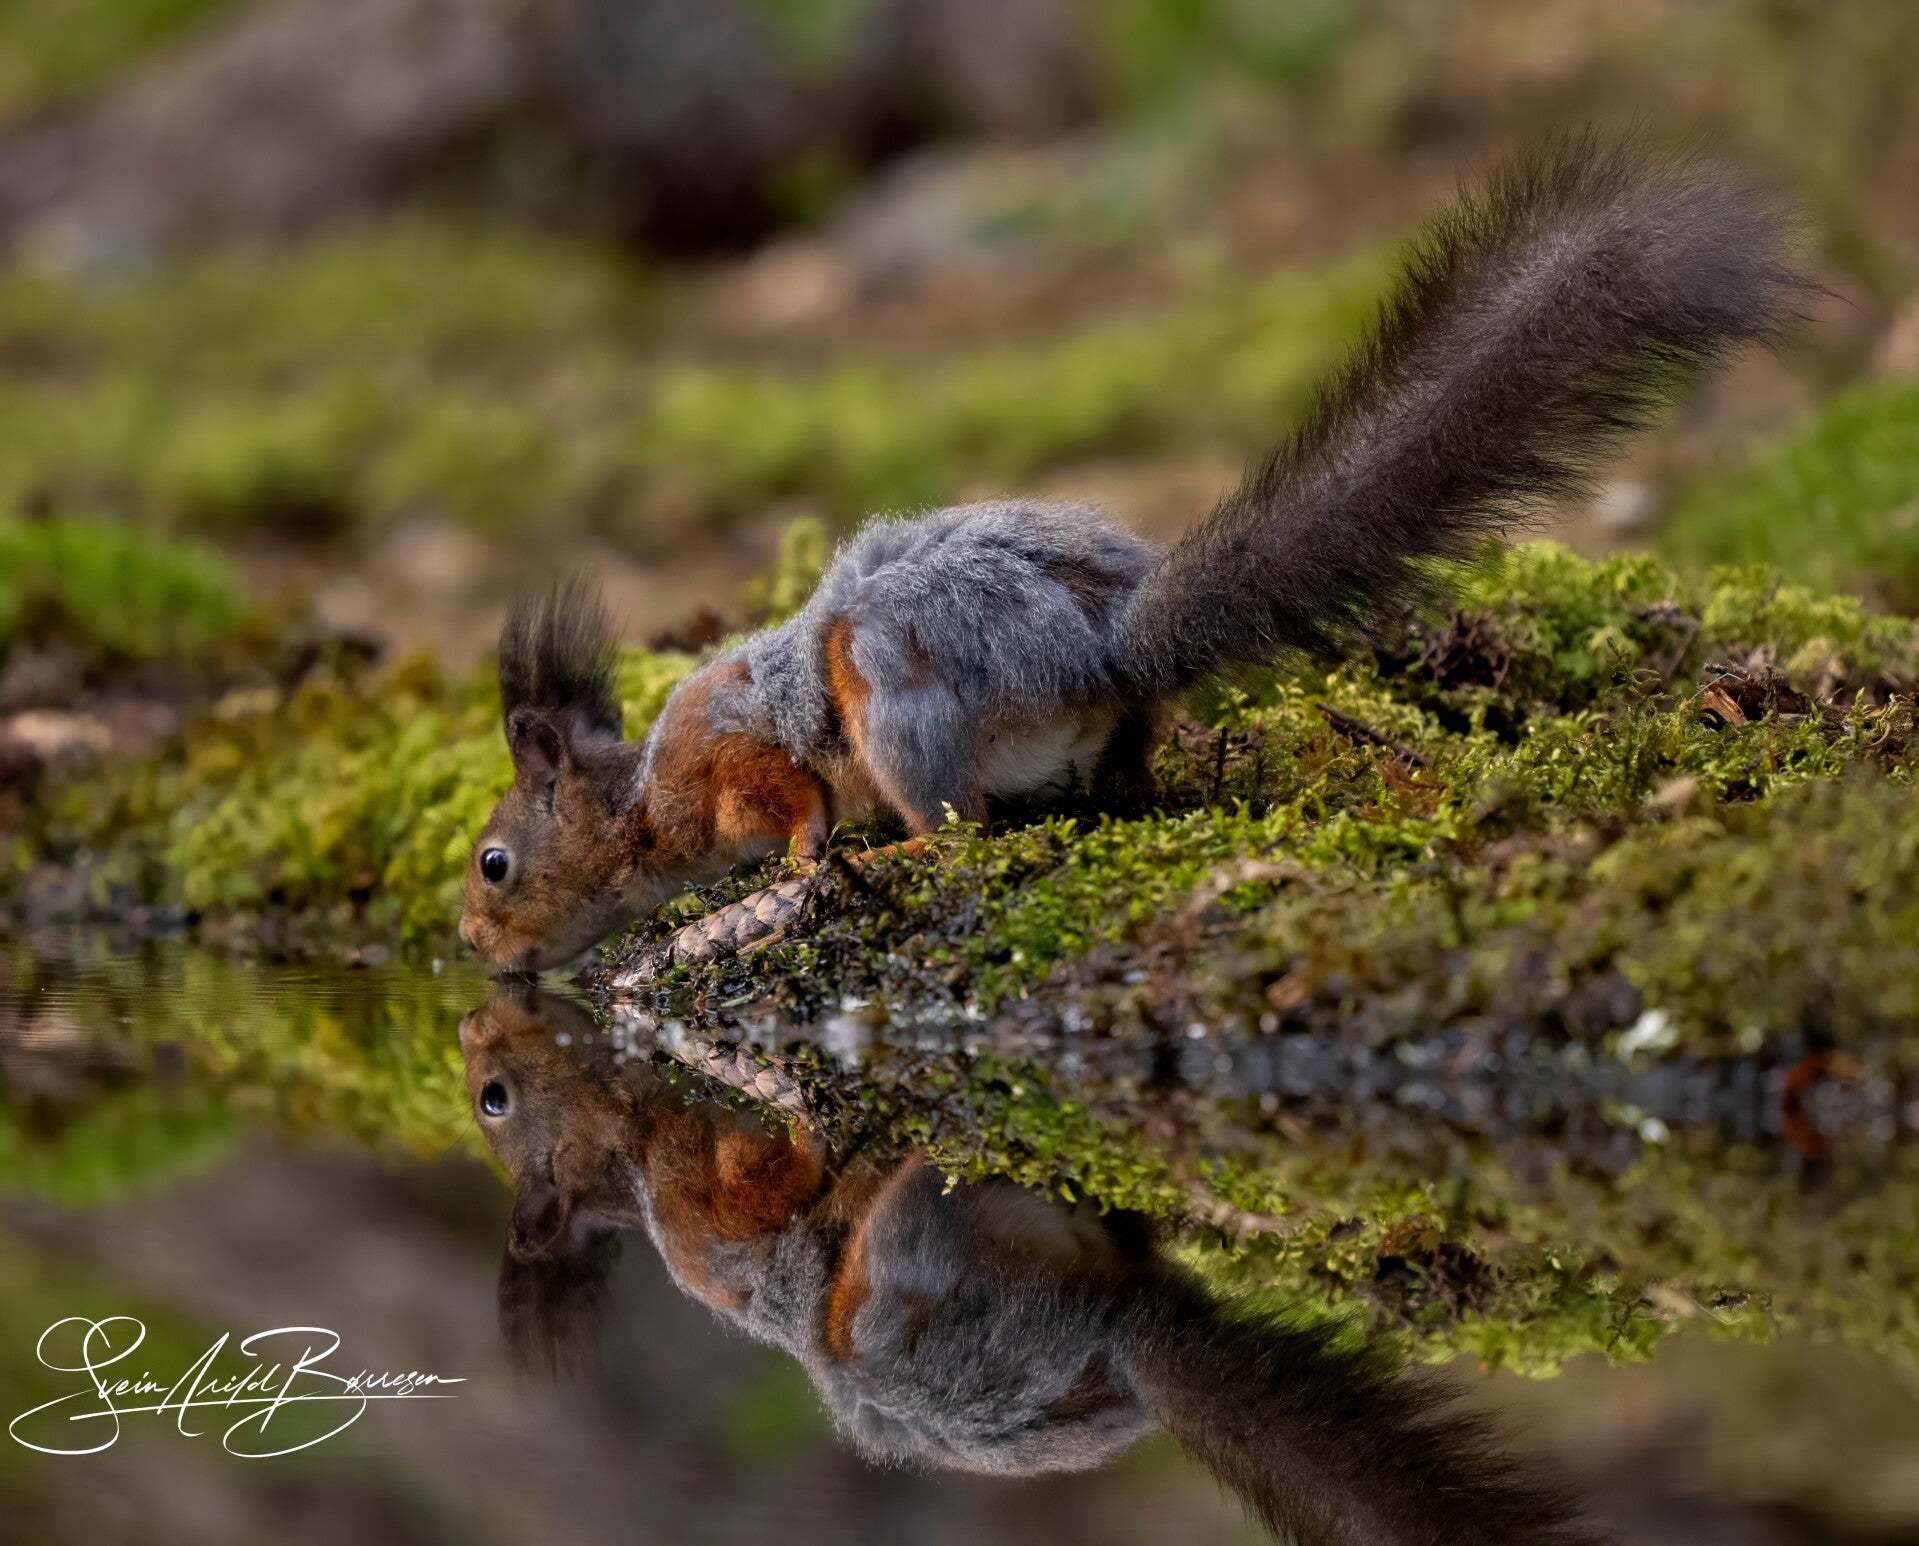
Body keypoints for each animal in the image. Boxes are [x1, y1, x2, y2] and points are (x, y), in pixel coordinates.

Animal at [458, 135, 1802, 974]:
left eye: (494, 862)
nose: (469, 950)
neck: (644, 800)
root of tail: (1104, 644)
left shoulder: (740, 759)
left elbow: (792, 806)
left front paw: (790, 870)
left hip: (891, 678)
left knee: (959, 825)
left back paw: (902, 849)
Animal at [461, 986, 1603, 1545]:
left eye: (494, 1098)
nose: (475, 1019)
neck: (632, 1151)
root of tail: (1119, 1342)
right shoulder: (708, 1202)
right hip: (920, 1259)